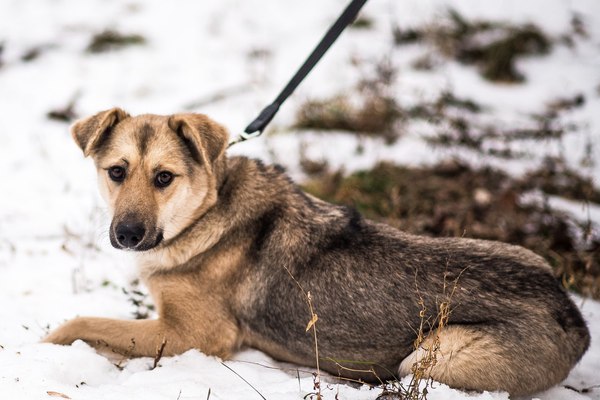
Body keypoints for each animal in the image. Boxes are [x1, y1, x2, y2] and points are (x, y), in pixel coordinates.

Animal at [45, 108, 590, 396]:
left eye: (164, 178)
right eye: (116, 172)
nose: (127, 234)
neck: (204, 213)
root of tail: (573, 316)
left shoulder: (192, 336)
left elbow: (80, 323)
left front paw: (48, 345)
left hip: (430, 355)